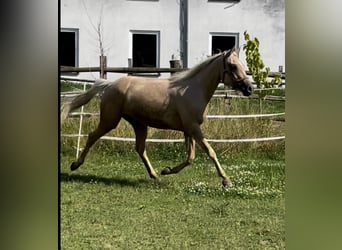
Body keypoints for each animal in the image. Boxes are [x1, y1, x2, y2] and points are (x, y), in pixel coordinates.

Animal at [60, 47, 254, 187]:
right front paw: (226, 180)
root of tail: (109, 85)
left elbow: (190, 157)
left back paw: (155, 176)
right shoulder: (193, 128)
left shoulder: (188, 129)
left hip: (139, 124)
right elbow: (210, 152)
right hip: (110, 120)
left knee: (140, 148)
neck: (192, 90)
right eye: (233, 66)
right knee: (92, 136)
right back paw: (75, 164)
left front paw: (166, 171)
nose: (249, 88)